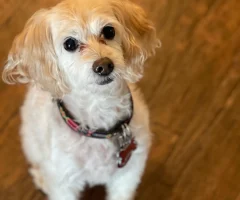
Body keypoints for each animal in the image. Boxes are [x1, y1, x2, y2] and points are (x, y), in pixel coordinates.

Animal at [2, 0, 159, 198]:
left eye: (109, 31)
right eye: (70, 44)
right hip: (30, 142)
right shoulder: (64, 182)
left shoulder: (129, 173)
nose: (104, 66)